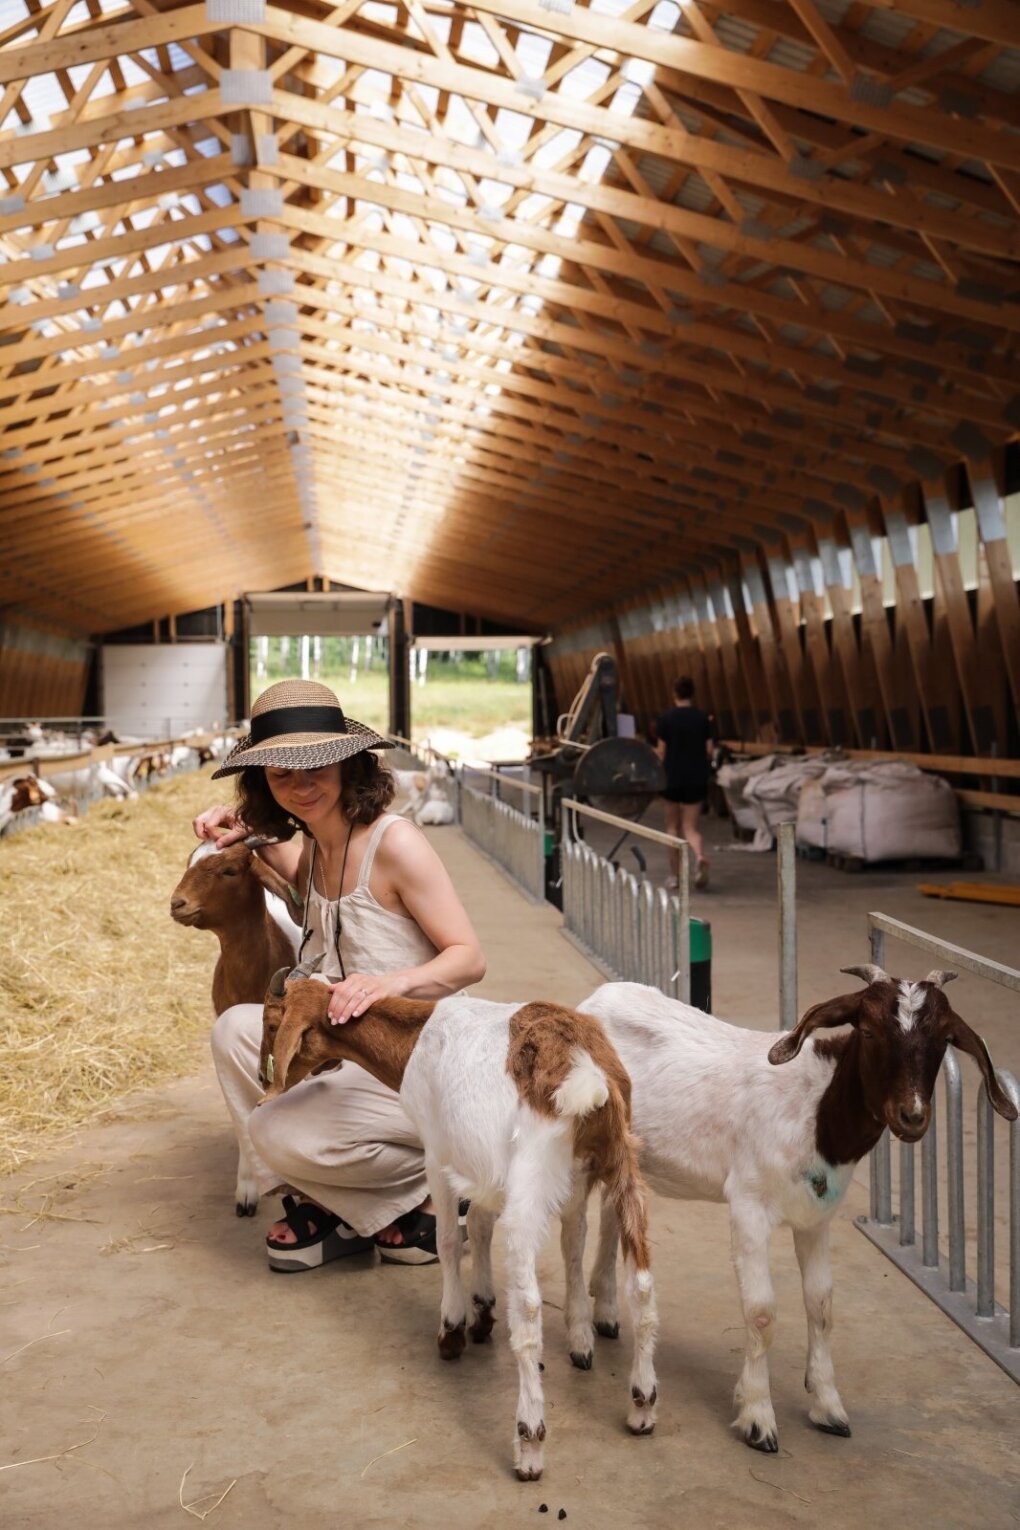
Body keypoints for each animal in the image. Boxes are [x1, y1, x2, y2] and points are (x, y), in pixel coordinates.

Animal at [578, 973, 1015, 1450]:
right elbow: (762, 1312)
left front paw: (827, 1405)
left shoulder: (817, 1217)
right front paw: (757, 1416)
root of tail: (594, 1001)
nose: (912, 1116)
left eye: (942, 1041)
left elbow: (821, 1306)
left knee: (611, 1213)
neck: (814, 1110)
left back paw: (605, 1310)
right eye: (868, 1030)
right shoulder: (748, 1206)